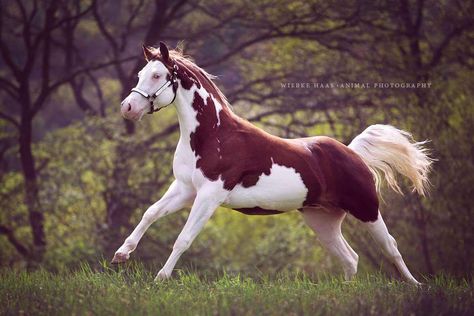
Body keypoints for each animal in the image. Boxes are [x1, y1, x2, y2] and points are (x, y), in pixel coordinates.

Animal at [112, 42, 434, 284]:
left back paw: (415, 286)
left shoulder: (209, 195)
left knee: (391, 247)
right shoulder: (184, 189)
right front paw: (121, 254)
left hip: (367, 209)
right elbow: (150, 213)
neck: (213, 134)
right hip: (323, 220)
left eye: (157, 75)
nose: (127, 108)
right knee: (350, 258)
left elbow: (184, 238)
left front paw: (161, 278)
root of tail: (353, 153)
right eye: (140, 73)